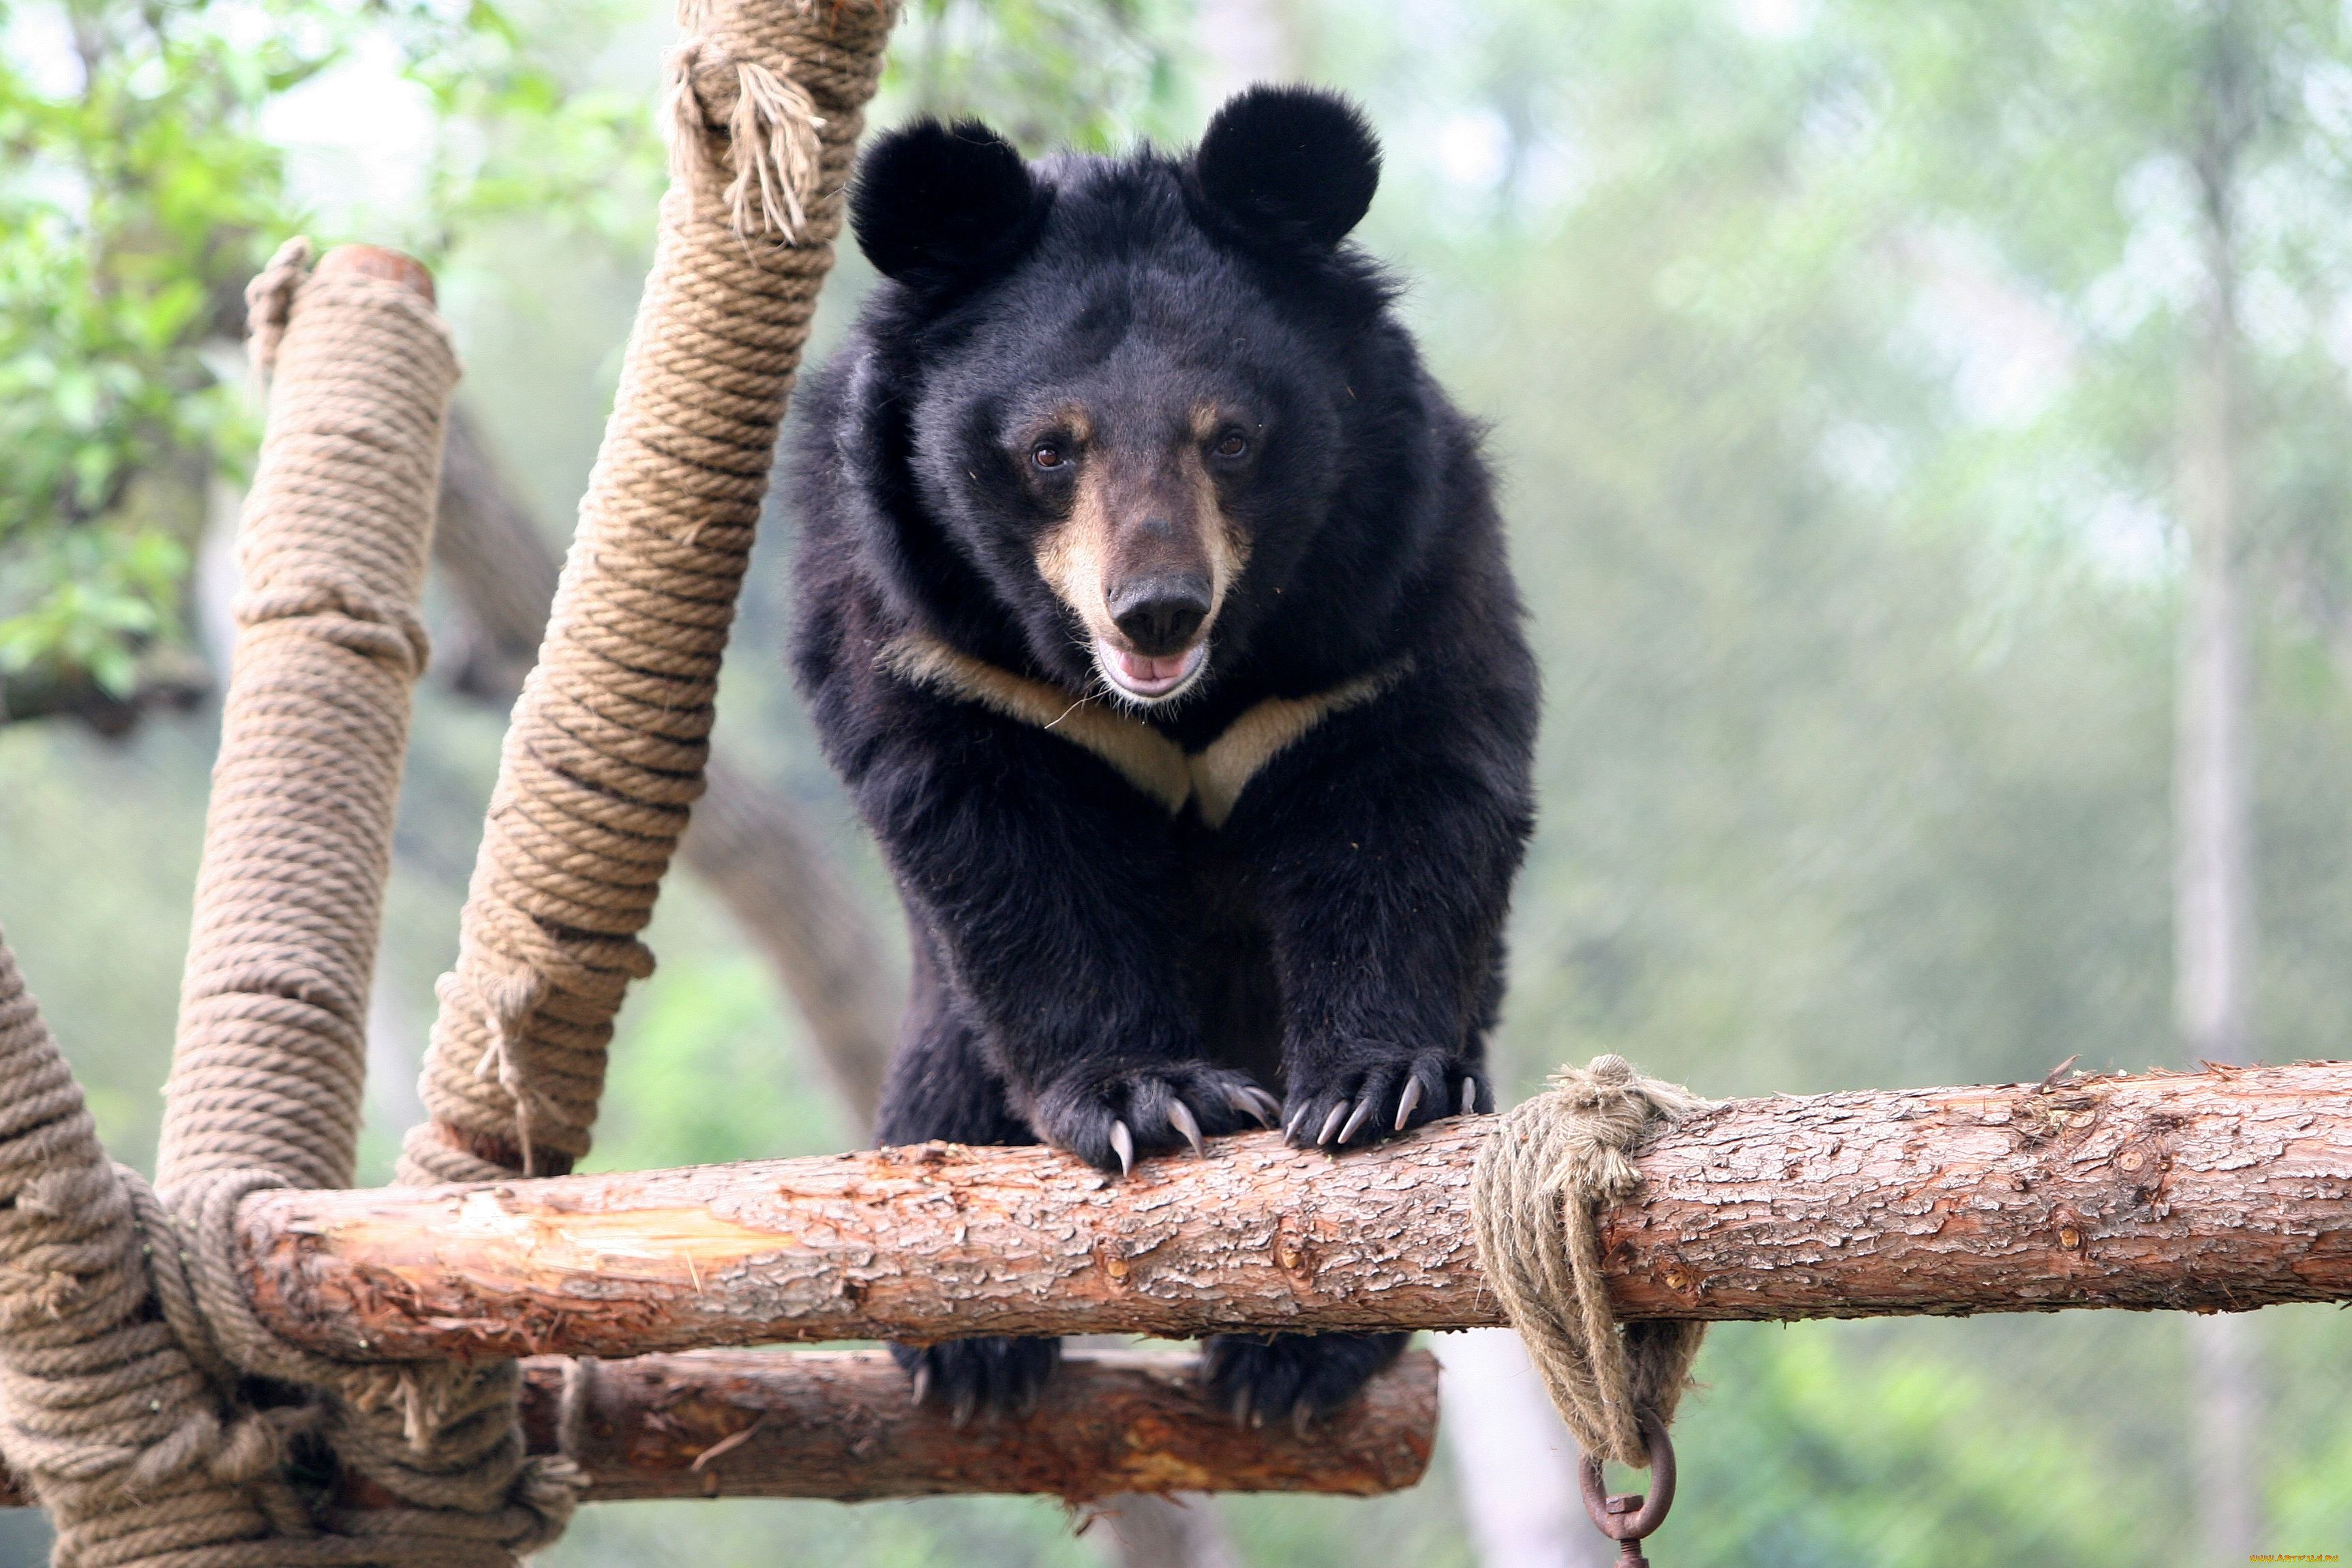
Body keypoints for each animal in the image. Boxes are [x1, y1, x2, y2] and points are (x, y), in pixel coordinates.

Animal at [790, 89, 1533, 1438]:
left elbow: (1405, 804)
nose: (1157, 611)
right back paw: (969, 1351)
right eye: (1050, 449)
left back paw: (1293, 1359)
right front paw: (1155, 1101)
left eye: (1228, 440)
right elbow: (1009, 853)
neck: (1186, 698)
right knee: (946, 1093)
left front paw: (1375, 1090)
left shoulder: (1388, 596)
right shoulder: (931, 637)